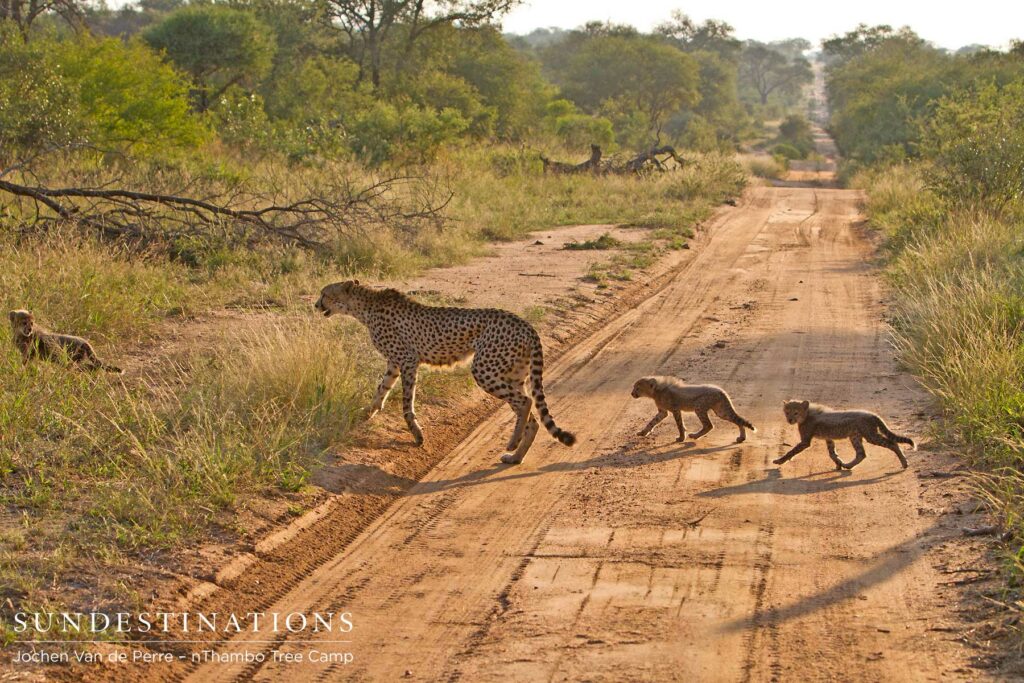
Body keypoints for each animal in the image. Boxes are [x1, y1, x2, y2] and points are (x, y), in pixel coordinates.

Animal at [314, 280, 576, 464]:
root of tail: (525, 323)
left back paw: (512, 445)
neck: (364, 306)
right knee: (532, 416)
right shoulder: (394, 363)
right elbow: (381, 389)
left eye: (325, 294)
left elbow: (406, 403)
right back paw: (515, 457)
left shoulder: (408, 360)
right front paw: (367, 413)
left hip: (485, 369)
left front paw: (417, 435)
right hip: (512, 373)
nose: (316, 305)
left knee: (526, 402)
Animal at [774, 400, 916, 471]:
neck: (807, 413)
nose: (790, 420)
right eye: (787, 412)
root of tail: (872, 414)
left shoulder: (805, 441)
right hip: (855, 436)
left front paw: (779, 461)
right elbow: (832, 453)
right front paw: (838, 464)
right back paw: (848, 465)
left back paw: (904, 462)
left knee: (893, 443)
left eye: (796, 412)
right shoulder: (829, 438)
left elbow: (791, 451)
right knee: (861, 454)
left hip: (871, 436)